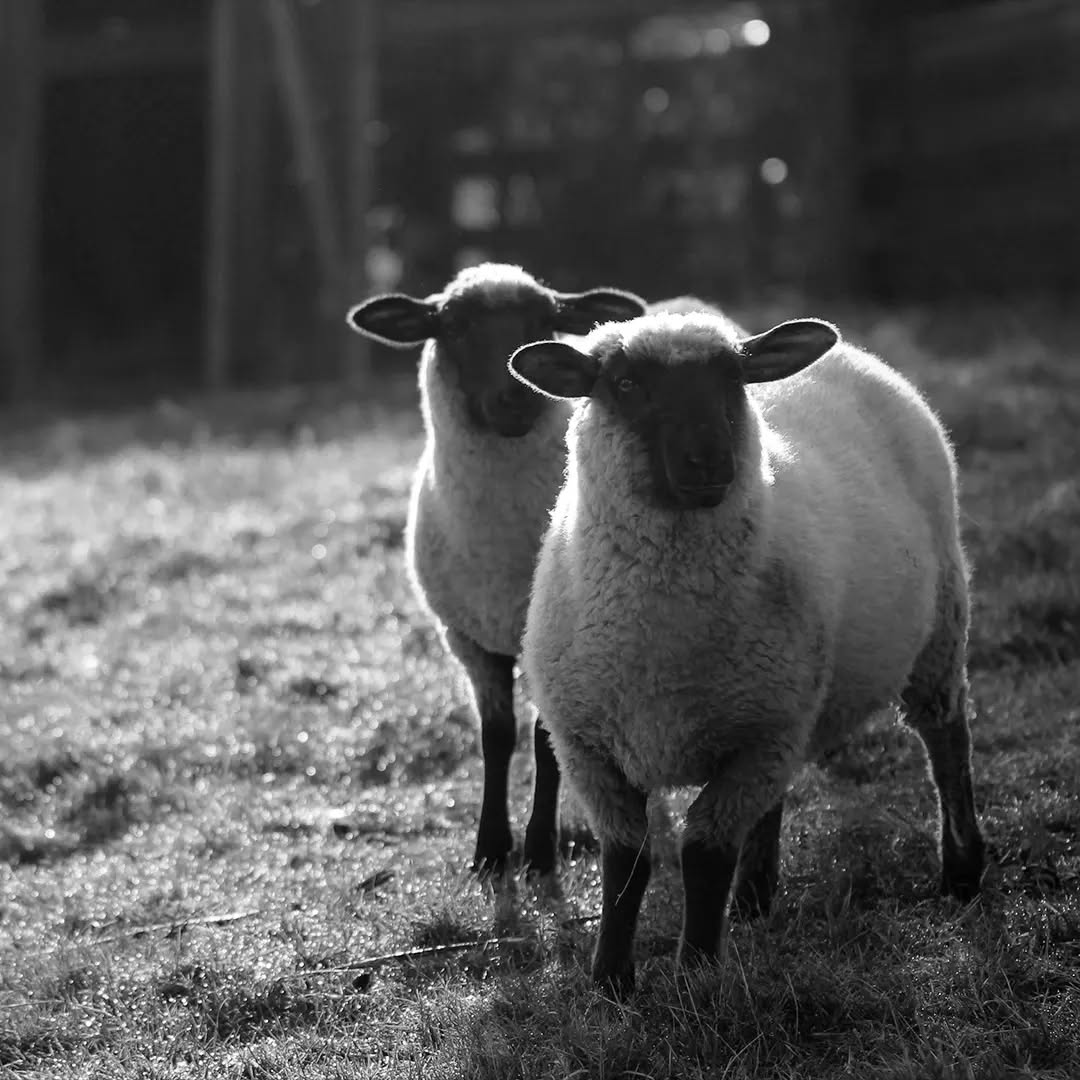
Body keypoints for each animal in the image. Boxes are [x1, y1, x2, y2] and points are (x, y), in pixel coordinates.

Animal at [346, 263, 646, 875]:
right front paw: (488, 849)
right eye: (454, 327)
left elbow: (543, 741)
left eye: (544, 322)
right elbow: (496, 738)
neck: (500, 551)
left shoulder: (548, 642)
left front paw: (538, 852)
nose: (514, 399)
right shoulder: (467, 639)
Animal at [508, 311, 986, 992]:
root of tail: (854, 357)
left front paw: (696, 975)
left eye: (732, 379)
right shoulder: (589, 748)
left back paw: (963, 872)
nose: (710, 460)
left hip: (938, 629)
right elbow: (626, 862)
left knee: (947, 744)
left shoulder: (759, 739)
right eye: (624, 384)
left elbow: (704, 854)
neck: (664, 641)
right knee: (774, 801)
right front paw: (611, 981)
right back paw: (755, 899)